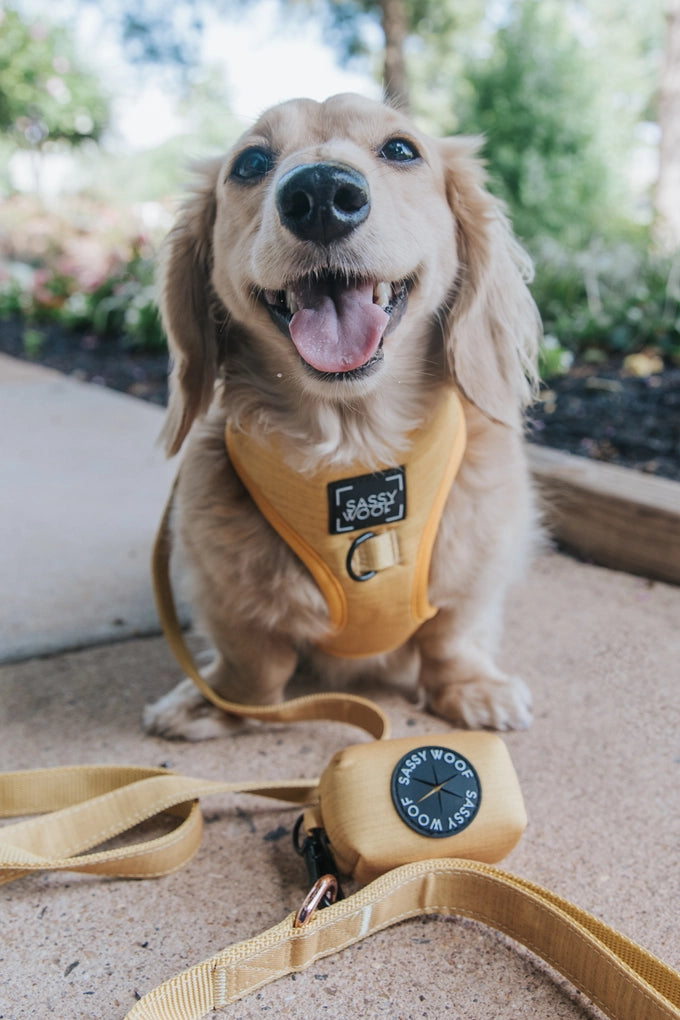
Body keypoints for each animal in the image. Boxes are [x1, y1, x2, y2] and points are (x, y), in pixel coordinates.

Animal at [144, 89, 542, 742]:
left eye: (402, 149)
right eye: (250, 163)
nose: (322, 195)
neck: (353, 446)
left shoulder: (476, 563)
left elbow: (453, 632)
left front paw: (470, 687)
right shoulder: (225, 588)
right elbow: (254, 655)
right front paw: (224, 701)